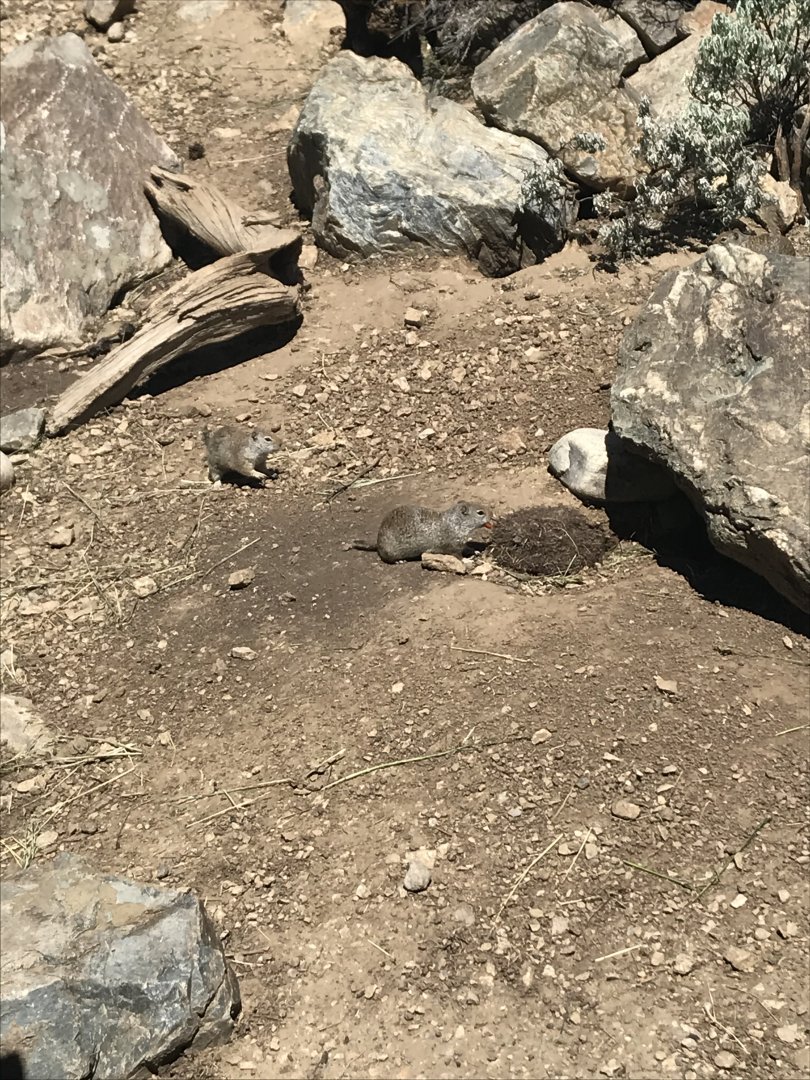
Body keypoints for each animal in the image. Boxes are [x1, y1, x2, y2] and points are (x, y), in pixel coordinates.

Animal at [350, 501, 492, 563]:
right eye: (480, 512)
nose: (492, 514)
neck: (456, 522)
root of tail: (378, 543)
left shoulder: (461, 543)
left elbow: (466, 547)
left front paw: (475, 551)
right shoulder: (452, 546)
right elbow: (458, 556)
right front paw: (467, 561)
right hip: (390, 553)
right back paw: (399, 561)